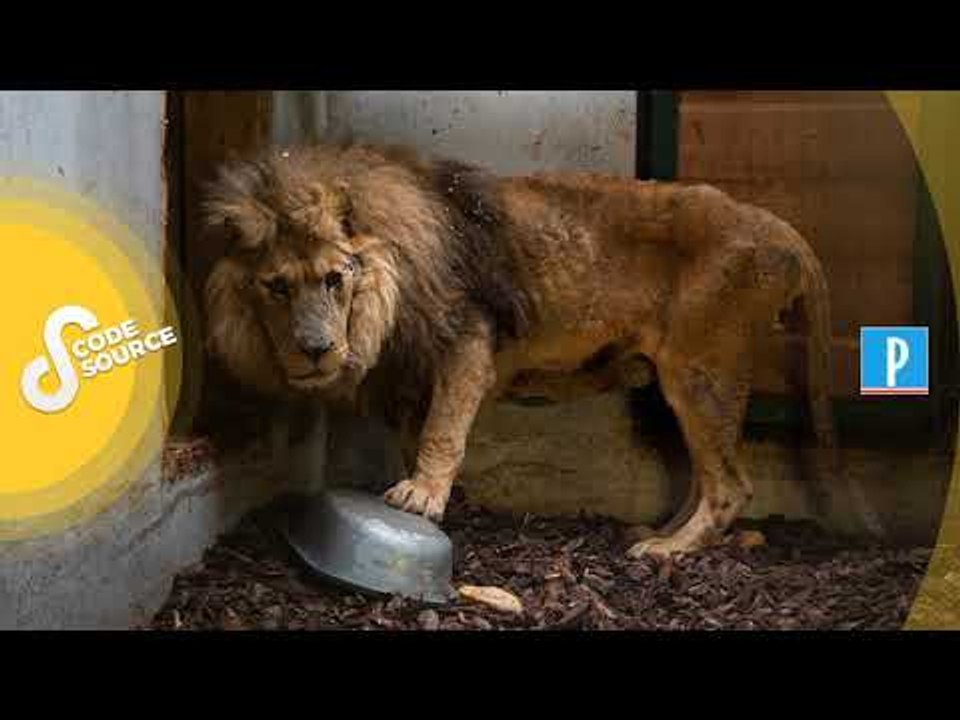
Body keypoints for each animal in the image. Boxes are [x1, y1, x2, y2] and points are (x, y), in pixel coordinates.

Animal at [201, 141, 836, 559]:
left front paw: (422, 496)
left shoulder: (466, 341)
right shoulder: (409, 373)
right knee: (709, 476)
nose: (316, 348)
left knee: (730, 485)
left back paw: (670, 551)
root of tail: (780, 229)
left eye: (335, 278)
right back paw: (656, 533)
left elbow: (443, 431)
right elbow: (414, 436)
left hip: (701, 369)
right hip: (684, 379)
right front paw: (428, 499)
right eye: (276, 286)